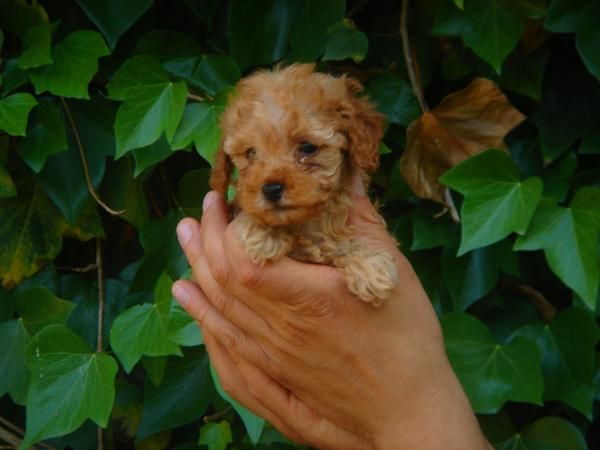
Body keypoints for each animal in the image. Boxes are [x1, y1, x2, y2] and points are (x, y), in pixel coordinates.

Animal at [211, 63, 398, 306]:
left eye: (308, 147)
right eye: (250, 153)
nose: (271, 189)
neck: (302, 224)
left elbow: (341, 246)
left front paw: (370, 267)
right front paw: (263, 233)